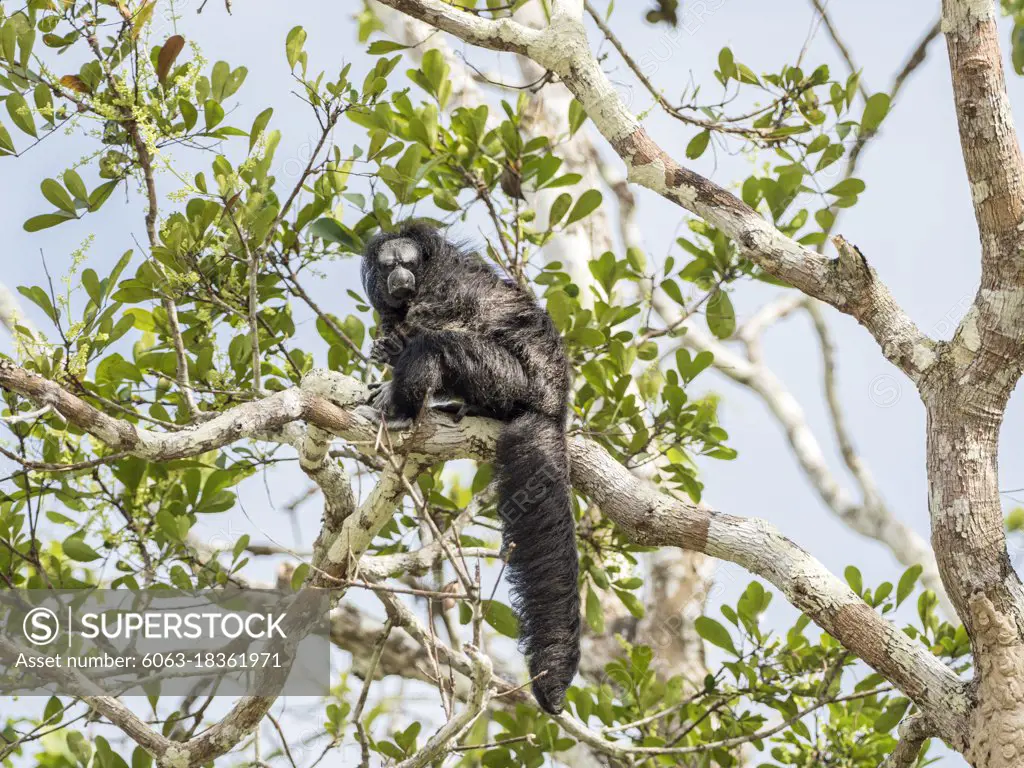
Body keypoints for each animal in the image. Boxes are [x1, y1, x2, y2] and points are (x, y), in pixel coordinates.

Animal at [358, 221, 585, 716]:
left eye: (407, 263)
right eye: (388, 266)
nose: (399, 278)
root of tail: (555, 405)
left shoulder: (444, 289)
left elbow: (436, 326)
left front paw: (398, 356)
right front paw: (387, 350)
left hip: (511, 380)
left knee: (439, 346)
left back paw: (406, 406)